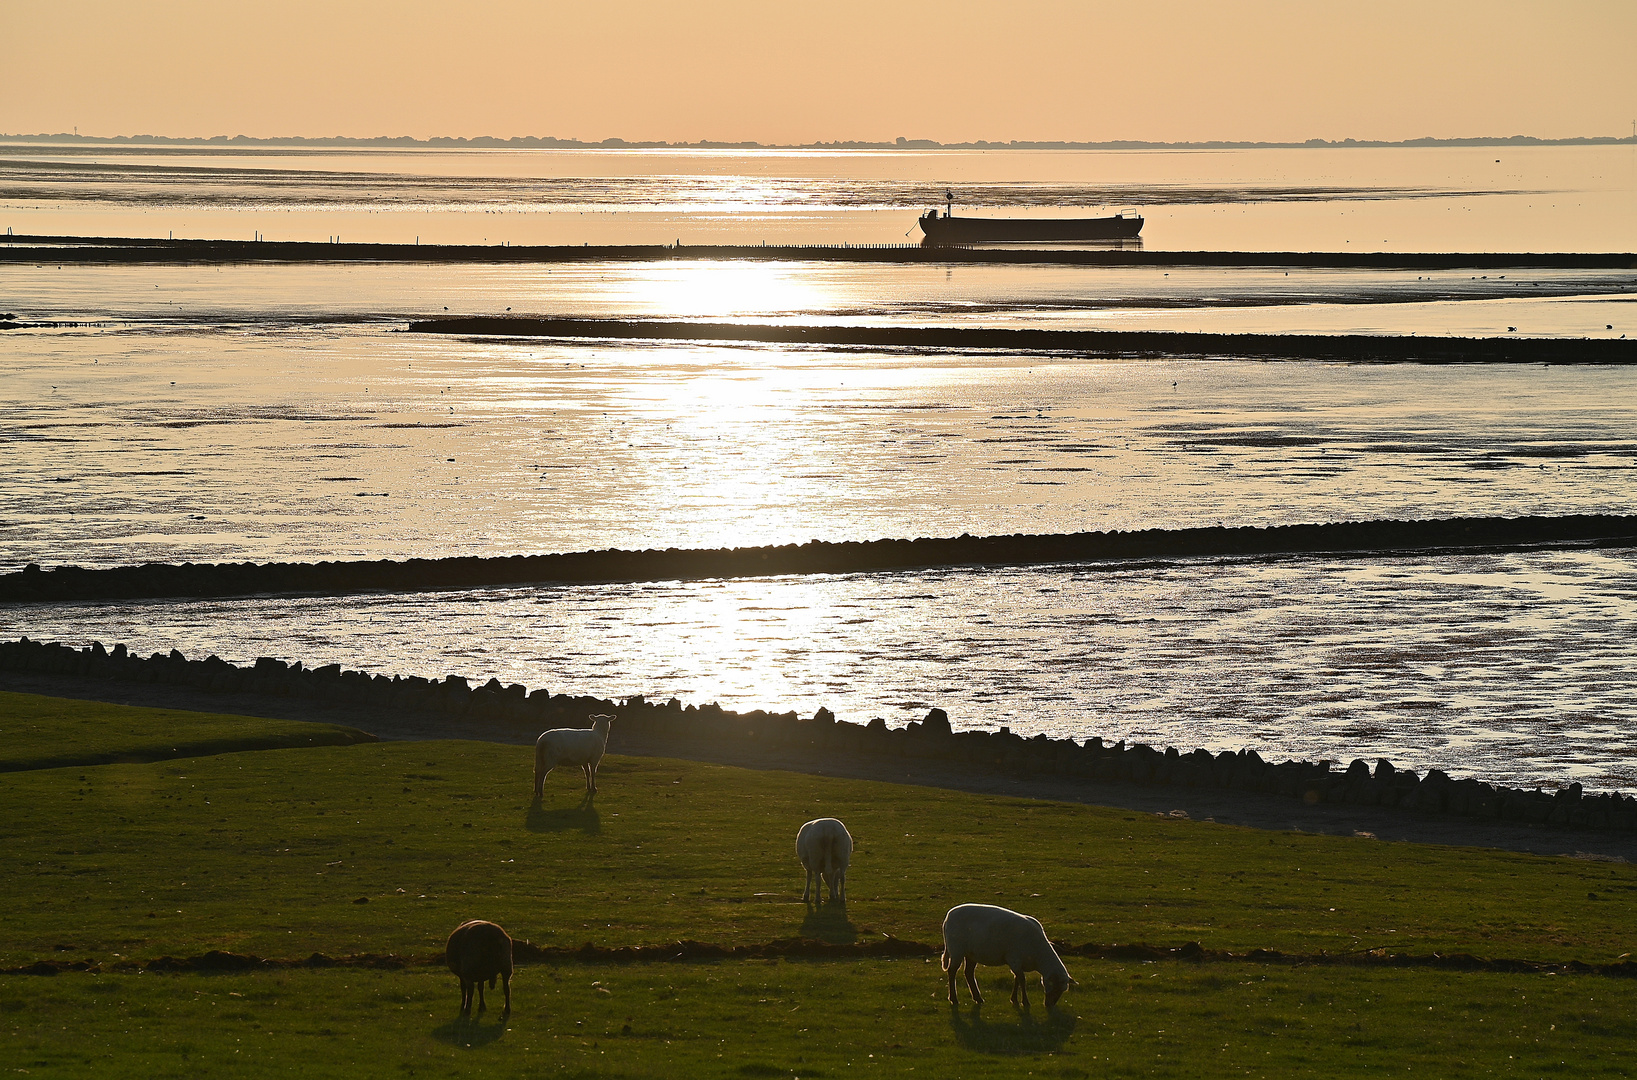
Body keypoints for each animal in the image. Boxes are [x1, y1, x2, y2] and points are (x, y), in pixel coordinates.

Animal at [942, 896, 1080, 1008]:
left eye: (1062, 991)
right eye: (1056, 988)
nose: (1049, 1005)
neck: (1038, 956)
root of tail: (948, 917)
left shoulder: (1018, 963)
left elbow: (1017, 979)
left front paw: (1014, 1000)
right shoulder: (1014, 958)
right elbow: (1022, 980)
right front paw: (1025, 1002)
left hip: (971, 953)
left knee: (969, 973)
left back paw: (978, 998)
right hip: (957, 949)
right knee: (952, 971)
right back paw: (954, 999)